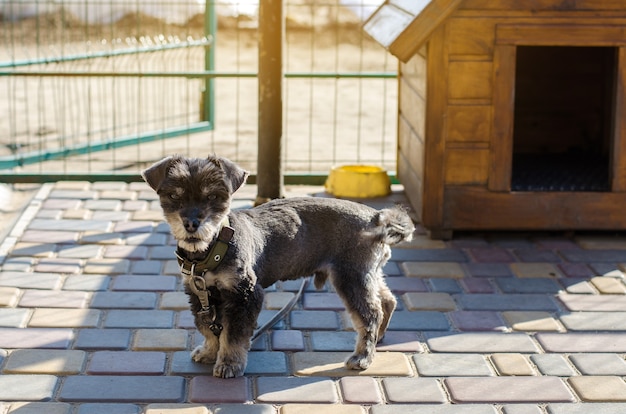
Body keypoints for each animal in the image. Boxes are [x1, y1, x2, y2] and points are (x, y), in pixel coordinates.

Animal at [142, 155, 414, 378]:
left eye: (212, 196)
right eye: (174, 196)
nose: (191, 224)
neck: (212, 250)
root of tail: (376, 217)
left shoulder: (245, 294)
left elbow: (233, 334)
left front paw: (229, 363)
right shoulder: (200, 294)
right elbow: (208, 327)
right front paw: (209, 352)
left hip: (350, 276)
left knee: (370, 313)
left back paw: (362, 356)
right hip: (367, 271)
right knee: (386, 300)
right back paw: (379, 336)